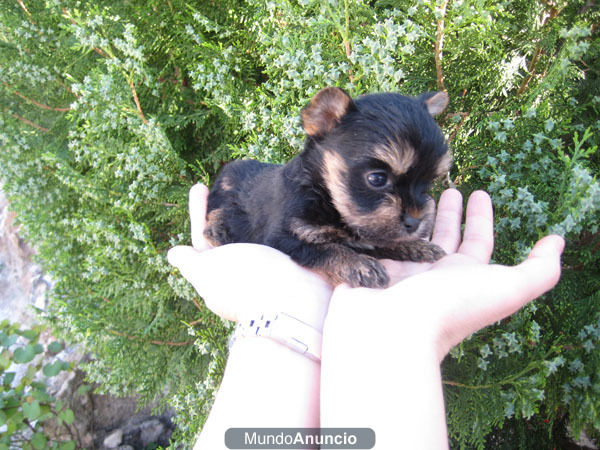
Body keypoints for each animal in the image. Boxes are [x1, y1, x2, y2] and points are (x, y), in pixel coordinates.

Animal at [203, 86, 450, 286]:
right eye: (377, 179)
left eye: (428, 182)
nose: (415, 222)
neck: (323, 195)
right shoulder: (284, 236)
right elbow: (327, 249)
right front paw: (358, 264)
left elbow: (385, 240)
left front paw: (417, 246)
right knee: (216, 212)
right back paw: (217, 230)